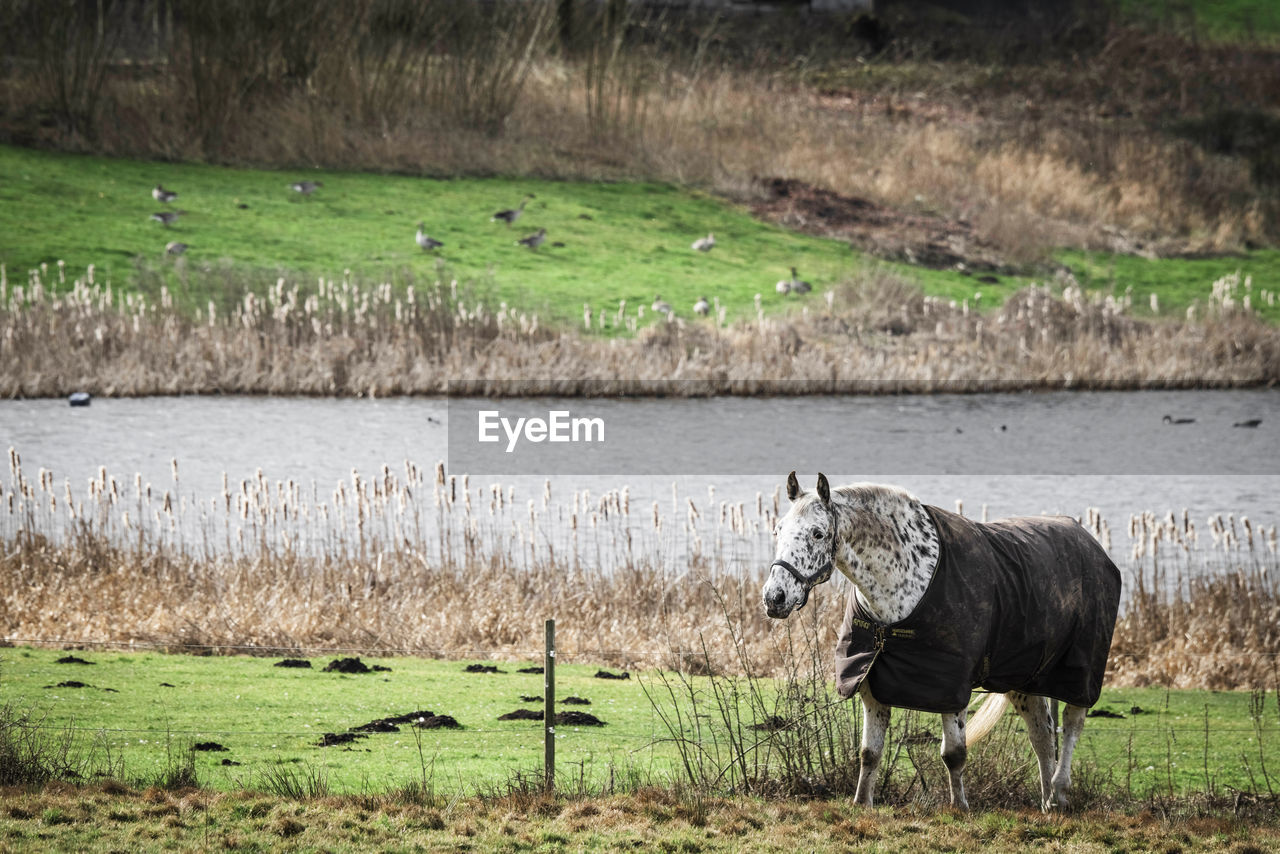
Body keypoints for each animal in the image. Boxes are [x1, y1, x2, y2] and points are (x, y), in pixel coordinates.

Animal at [757, 473, 1121, 814]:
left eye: (818, 533)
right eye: (777, 530)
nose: (775, 597)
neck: (905, 581)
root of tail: (1090, 542)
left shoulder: (951, 688)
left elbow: (954, 754)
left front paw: (960, 808)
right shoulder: (872, 685)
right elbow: (869, 753)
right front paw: (862, 804)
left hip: (1077, 675)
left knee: (1071, 725)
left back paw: (1059, 792)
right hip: (1025, 679)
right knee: (1042, 735)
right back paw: (1048, 803)